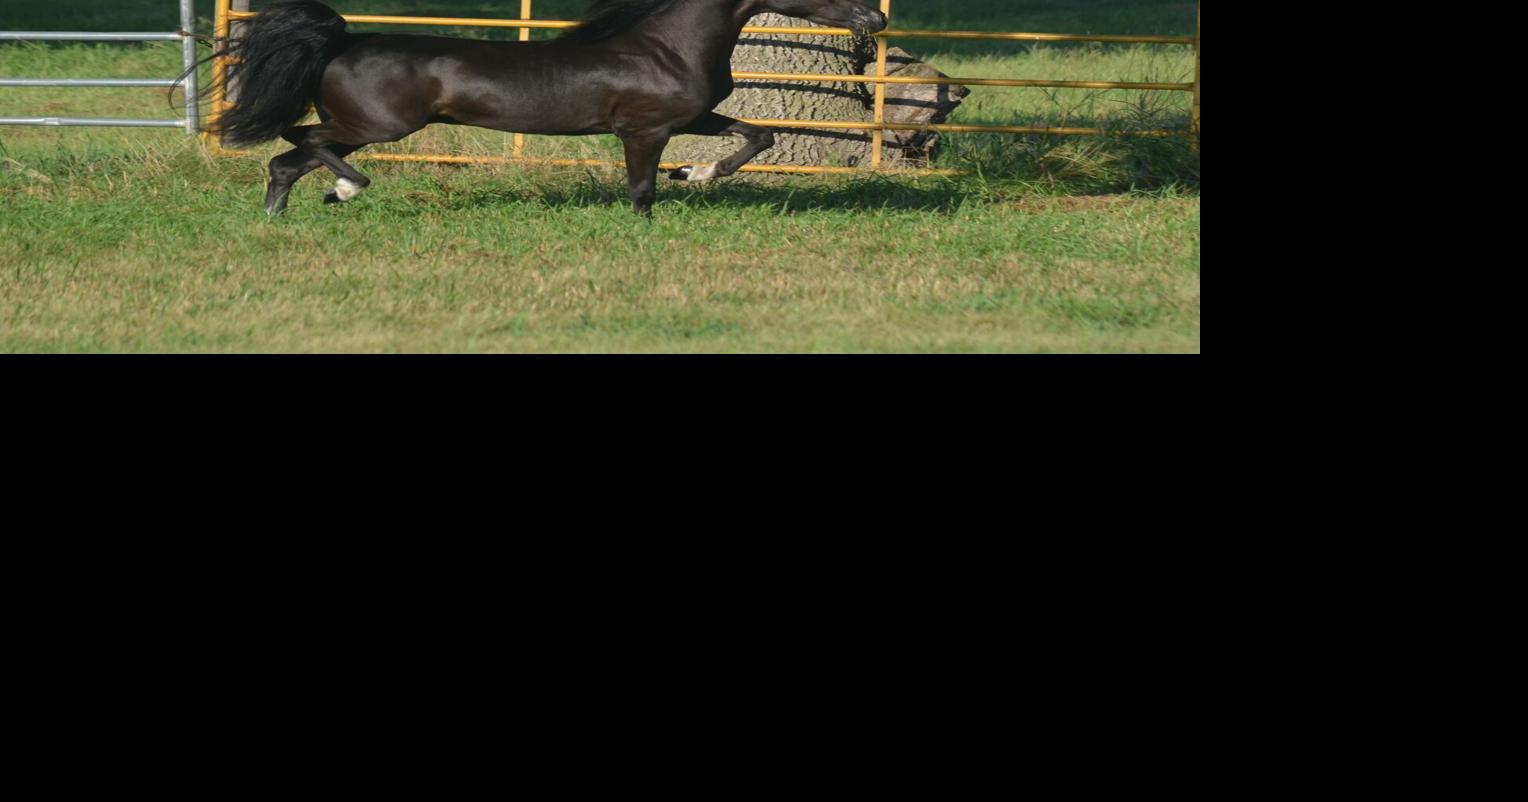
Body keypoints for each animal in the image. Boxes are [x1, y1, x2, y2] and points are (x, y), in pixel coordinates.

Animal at [212, 0, 889, 216]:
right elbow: (641, 190)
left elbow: (758, 136)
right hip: (378, 125)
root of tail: (344, 40)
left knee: (287, 159)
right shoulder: (643, 130)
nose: (876, 19)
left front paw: (695, 174)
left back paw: (284, 217)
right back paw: (346, 190)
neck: (667, 48)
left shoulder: (691, 119)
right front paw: (649, 224)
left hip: (363, 127)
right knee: (300, 139)